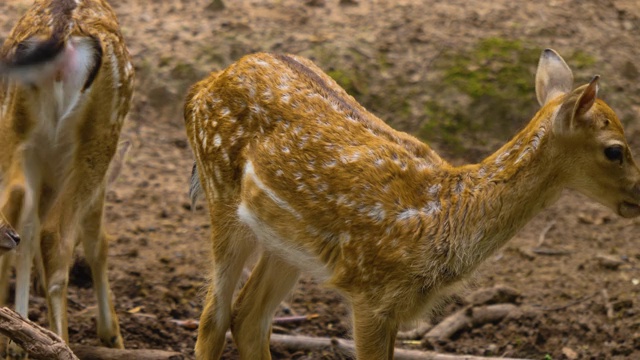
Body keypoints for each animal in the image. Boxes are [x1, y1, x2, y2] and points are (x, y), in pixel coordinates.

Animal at [0, 0, 134, 356]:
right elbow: (97, 240)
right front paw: (112, 335)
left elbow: (26, 230)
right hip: (100, 135)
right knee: (55, 234)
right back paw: (60, 345)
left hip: (14, 126)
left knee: (19, 212)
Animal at [185, 50, 640, 360]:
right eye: (615, 150)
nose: (639, 195)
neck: (442, 216)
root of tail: (201, 87)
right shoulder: (370, 294)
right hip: (219, 192)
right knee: (213, 319)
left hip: (284, 240)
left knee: (248, 318)